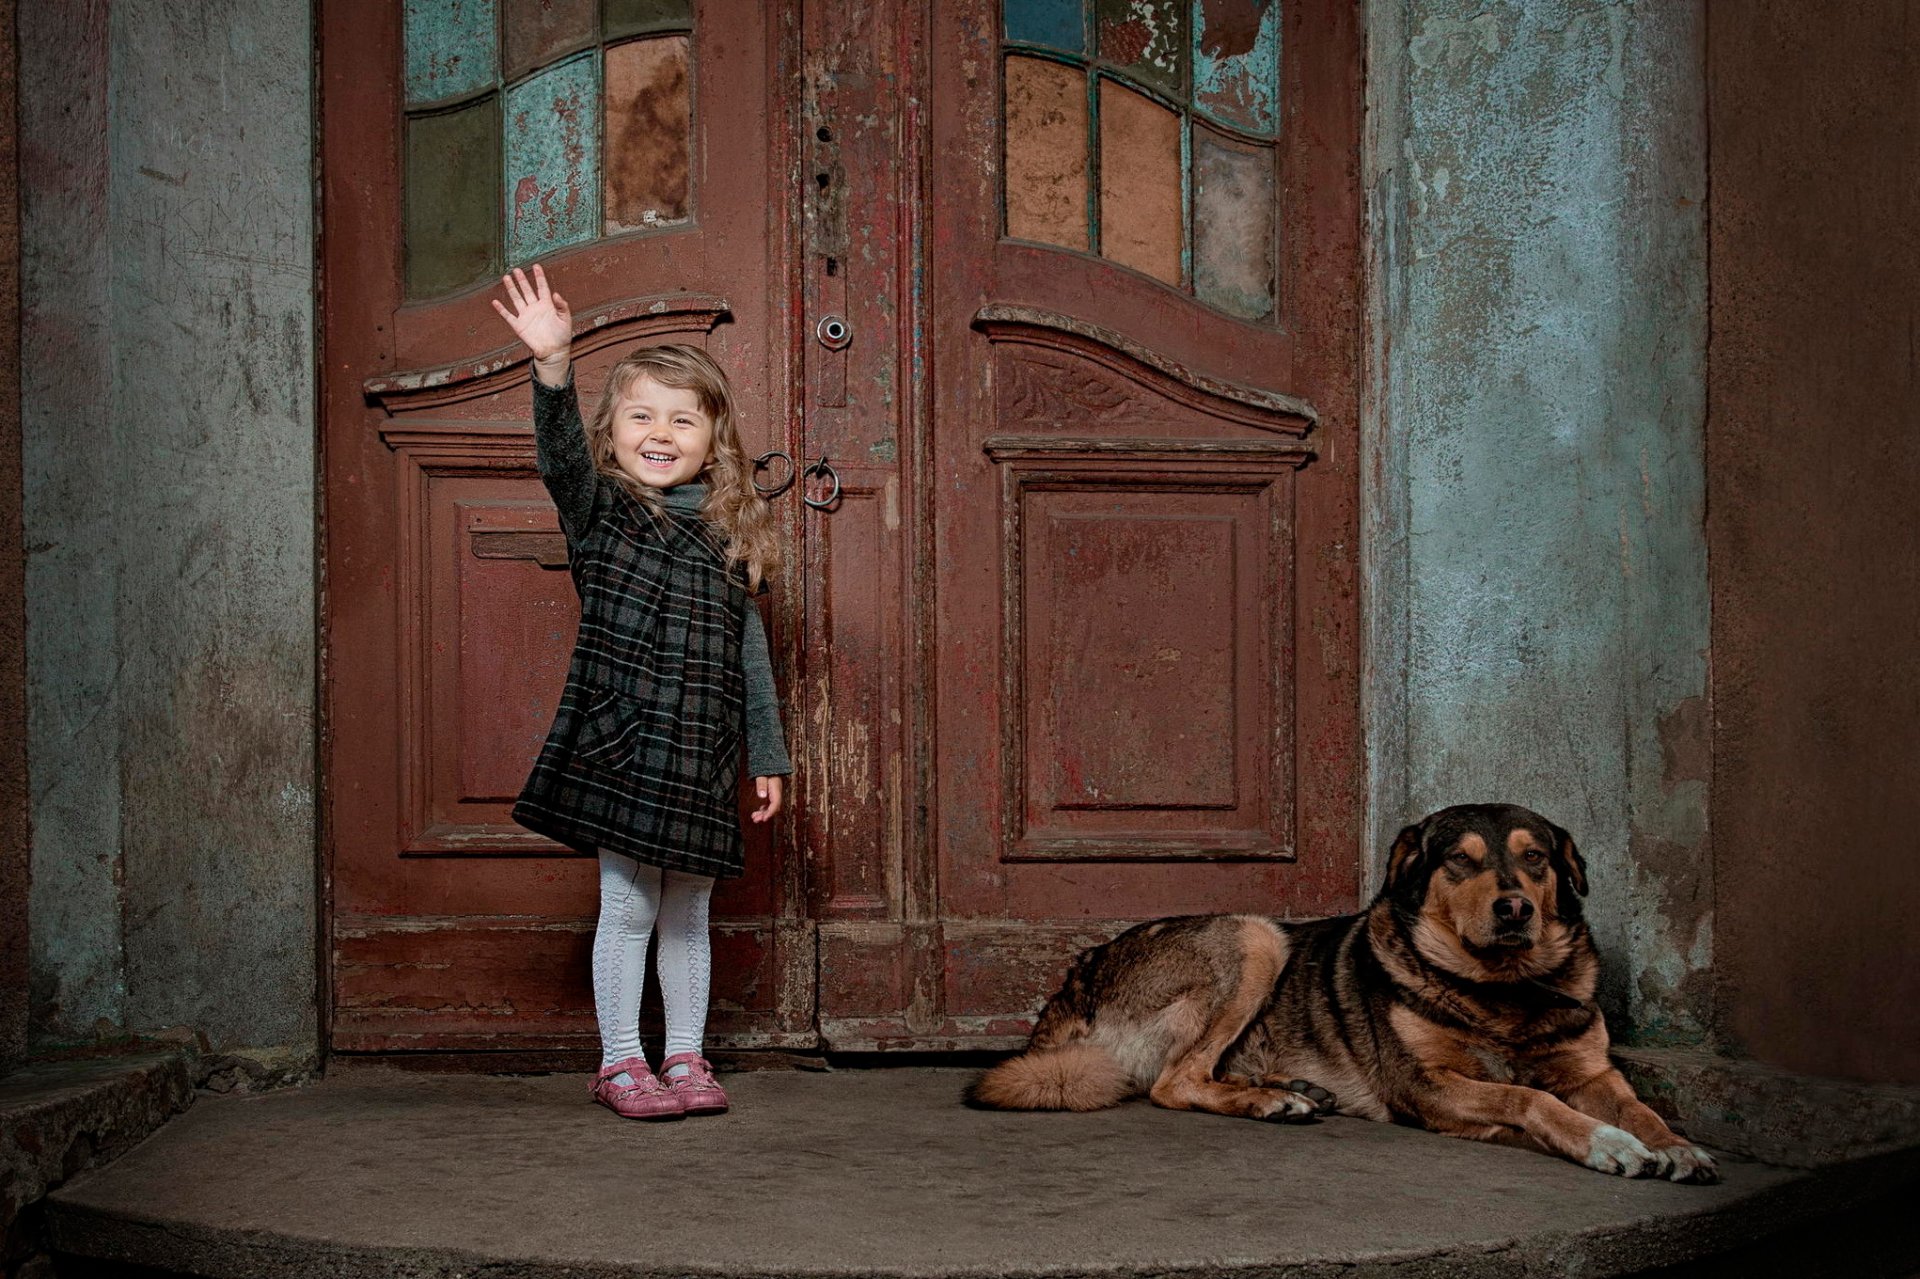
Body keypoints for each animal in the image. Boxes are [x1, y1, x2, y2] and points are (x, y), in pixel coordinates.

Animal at [967, 802, 1720, 1182]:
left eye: (1535, 857)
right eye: (1461, 861)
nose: (1515, 909)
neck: (1500, 988)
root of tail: (1079, 972)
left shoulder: (1594, 1071)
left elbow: (1641, 1107)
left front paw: (1677, 1146)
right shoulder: (1427, 1085)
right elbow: (1527, 1098)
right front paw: (1606, 1143)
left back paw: (1289, 1087)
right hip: (1253, 936)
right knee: (1174, 1081)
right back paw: (1272, 1101)